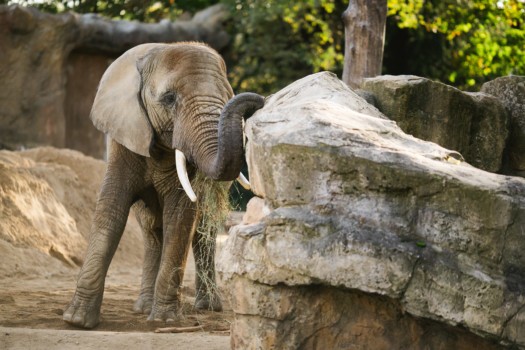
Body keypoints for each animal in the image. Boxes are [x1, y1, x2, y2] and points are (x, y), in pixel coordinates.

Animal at [63, 42, 264, 330]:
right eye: (169, 98)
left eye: (228, 96)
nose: (259, 101)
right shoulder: (124, 138)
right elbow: (111, 211)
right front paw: (77, 320)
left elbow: (180, 217)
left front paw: (165, 319)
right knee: (151, 231)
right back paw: (143, 306)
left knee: (202, 231)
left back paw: (207, 307)